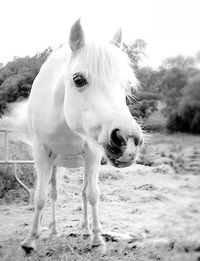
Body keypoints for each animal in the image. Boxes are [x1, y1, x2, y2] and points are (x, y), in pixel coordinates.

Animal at [8, 18, 143, 252]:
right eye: (78, 80)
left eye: (126, 85)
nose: (128, 141)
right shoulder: (41, 155)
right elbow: (40, 197)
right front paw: (30, 240)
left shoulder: (93, 155)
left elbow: (92, 194)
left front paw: (97, 238)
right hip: (55, 164)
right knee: (53, 192)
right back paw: (53, 230)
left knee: (83, 191)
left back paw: (85, 230)